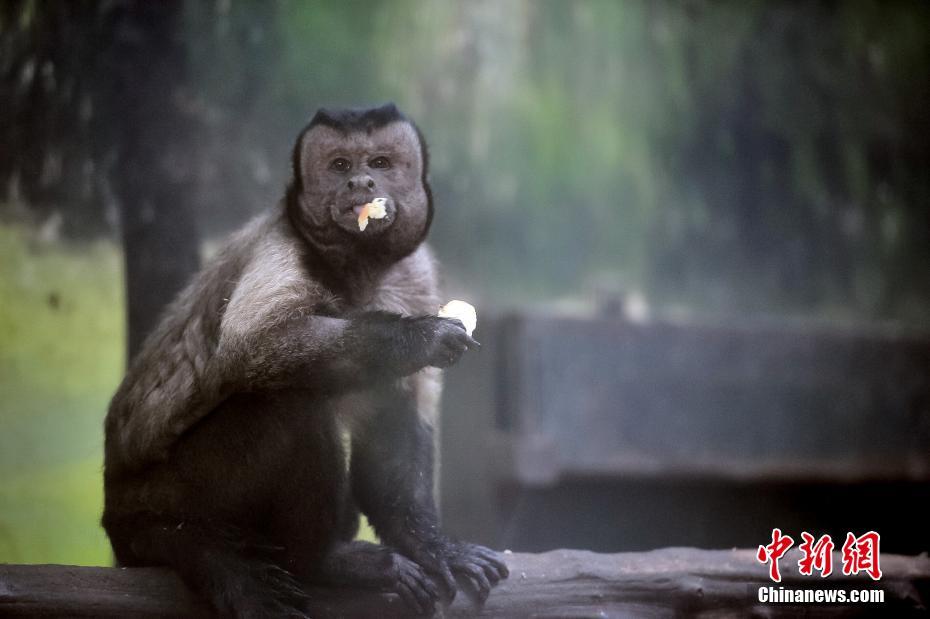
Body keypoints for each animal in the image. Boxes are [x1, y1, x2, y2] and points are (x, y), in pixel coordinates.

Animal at [101, 103, 509, 618]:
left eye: (379, 163)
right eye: (339, 165)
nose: (360, 184)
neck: (356, 269)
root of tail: (121, 513)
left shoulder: (412, 274)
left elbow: (400, 407)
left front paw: (425, 542)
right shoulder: (284, 248)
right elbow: (254, 344)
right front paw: (417, 338)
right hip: (170, 494)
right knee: (290, 400)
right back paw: (318, 560)